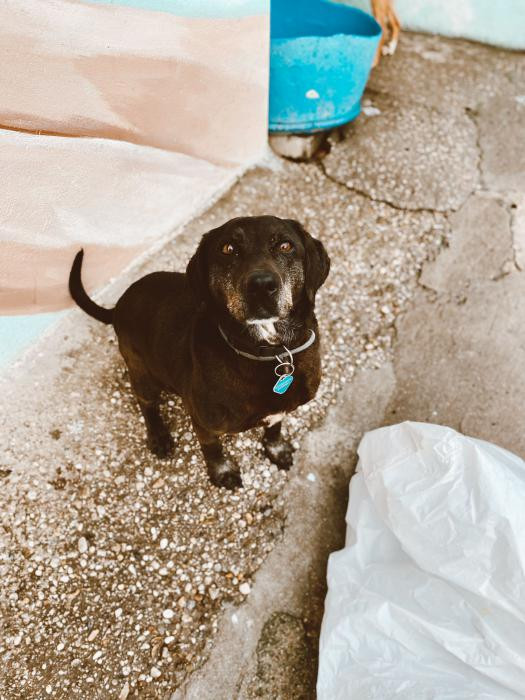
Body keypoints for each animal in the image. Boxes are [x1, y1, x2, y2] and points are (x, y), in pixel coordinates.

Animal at [69, 216, 330, 490]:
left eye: (285, 246)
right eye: (228, 248)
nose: (261, 285)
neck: (271, 352)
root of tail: (118, 305)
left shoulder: (280, 411)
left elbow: (274, 429)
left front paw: (276, 450)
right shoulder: (204, 424)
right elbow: (212, 449)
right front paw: (222, 472)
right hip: (141, 371)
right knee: (146, 404)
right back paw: (158, 435)